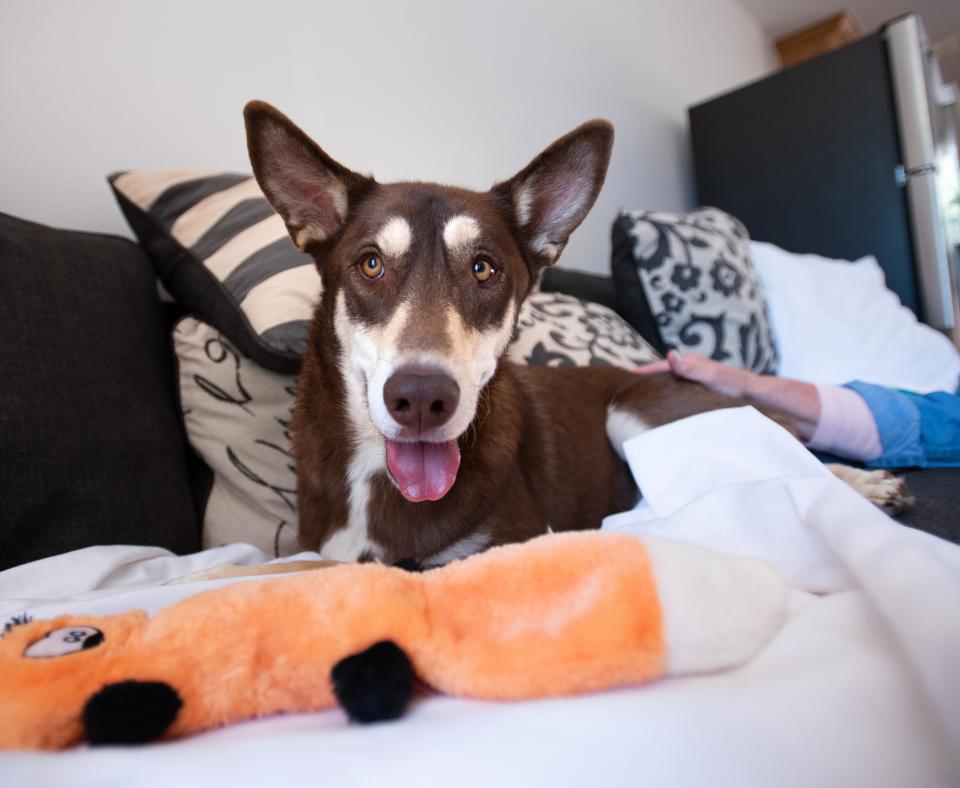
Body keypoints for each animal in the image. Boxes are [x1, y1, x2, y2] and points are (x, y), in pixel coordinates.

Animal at [236, 101, 912, 568]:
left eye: (484, 269)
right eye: (371, 264)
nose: (423, 398)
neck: (381, 481)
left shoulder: (515, 543)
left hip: (638, 414)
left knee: (782, 461)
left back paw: (863, 482)